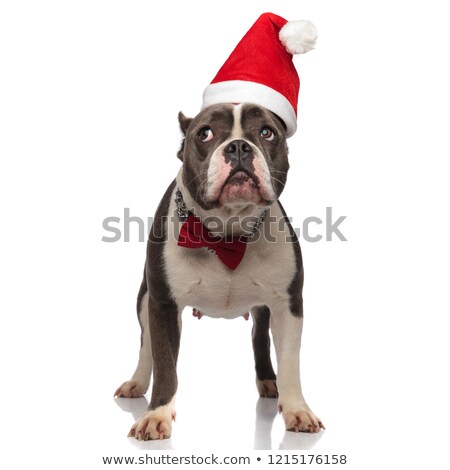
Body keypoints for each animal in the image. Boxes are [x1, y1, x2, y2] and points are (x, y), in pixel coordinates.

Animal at [112, 101, 324, 438]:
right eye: (205, 133)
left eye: (267, 132)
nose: (238, 147)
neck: (227, 233)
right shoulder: (163, 305)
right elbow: (164, 363)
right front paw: (157, 414)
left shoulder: (288, 305)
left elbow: (291, 362)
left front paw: (297, 410)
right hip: (144, 300)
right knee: (147, 346)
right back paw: (137, 382)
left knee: (259, 337)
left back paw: (268, 381)